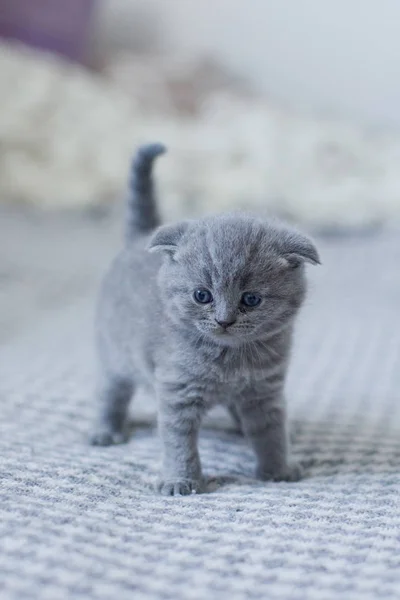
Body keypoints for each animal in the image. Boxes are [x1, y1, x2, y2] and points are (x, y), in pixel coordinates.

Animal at [90, 143, 318, 494]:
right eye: (202, 295)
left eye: (251, 299)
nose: (224, 320)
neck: (231, 362)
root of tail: (139, 237)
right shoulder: (177, 390)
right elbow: (179, 442)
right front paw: (180, 481)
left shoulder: (265, 389)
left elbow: (270, 432)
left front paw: (278, 469)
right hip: (115, 353)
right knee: (110, 391)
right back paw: (106, 431)